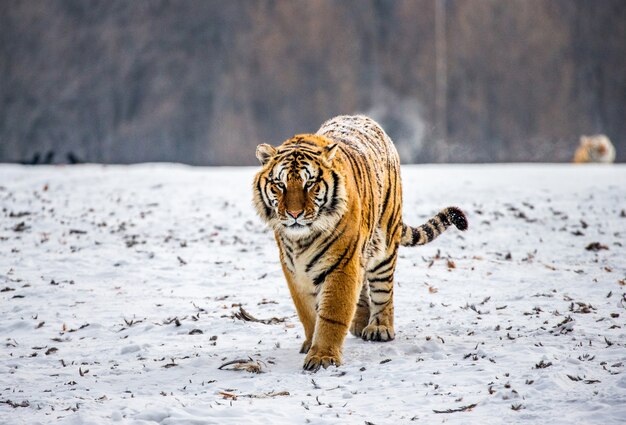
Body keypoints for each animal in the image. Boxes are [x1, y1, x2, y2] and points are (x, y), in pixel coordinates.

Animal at [251, 114, 466, 370]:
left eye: (309, 184)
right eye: (280, 185)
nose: (294, 214)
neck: (301, 239)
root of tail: (364, 118)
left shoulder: (341, 263)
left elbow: (332, 313)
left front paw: (322, 356)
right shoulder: (294, 270)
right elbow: (308, 313)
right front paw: (311, 342)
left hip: (384, 246)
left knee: (383, 290)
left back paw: (380, 327)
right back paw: (360, 321)